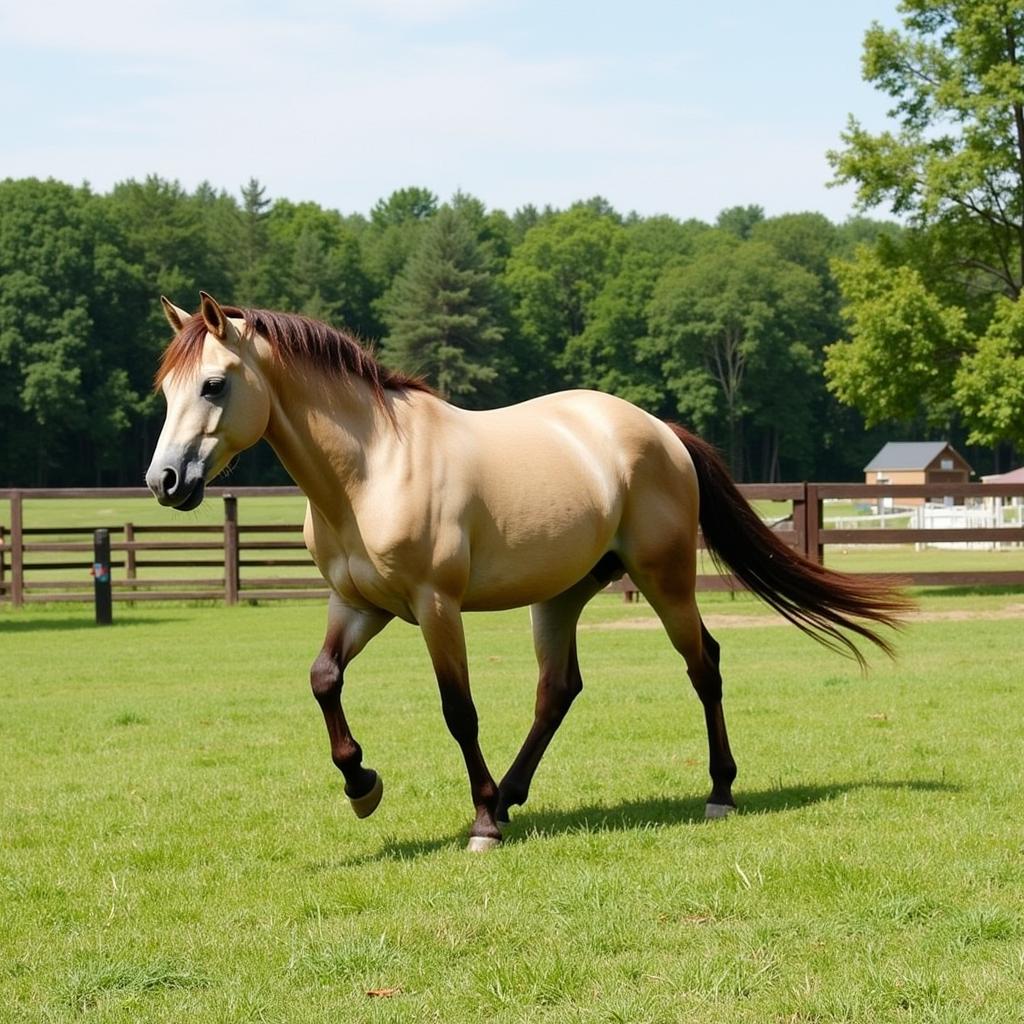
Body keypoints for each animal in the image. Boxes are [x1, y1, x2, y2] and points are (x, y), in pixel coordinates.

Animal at [146, 294, 913, 847]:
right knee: (558, 690)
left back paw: (716, 792)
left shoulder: (435, 605)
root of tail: (660, 432)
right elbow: (323, 680)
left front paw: (480, 823)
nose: (164, 480)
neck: (371, 468)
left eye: (213, 385)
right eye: (166, 392)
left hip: (665, 580)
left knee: (705, 668)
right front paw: (362, 785)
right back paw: (515, 795)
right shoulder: (358, 605)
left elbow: (458, 711)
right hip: (562, 596)